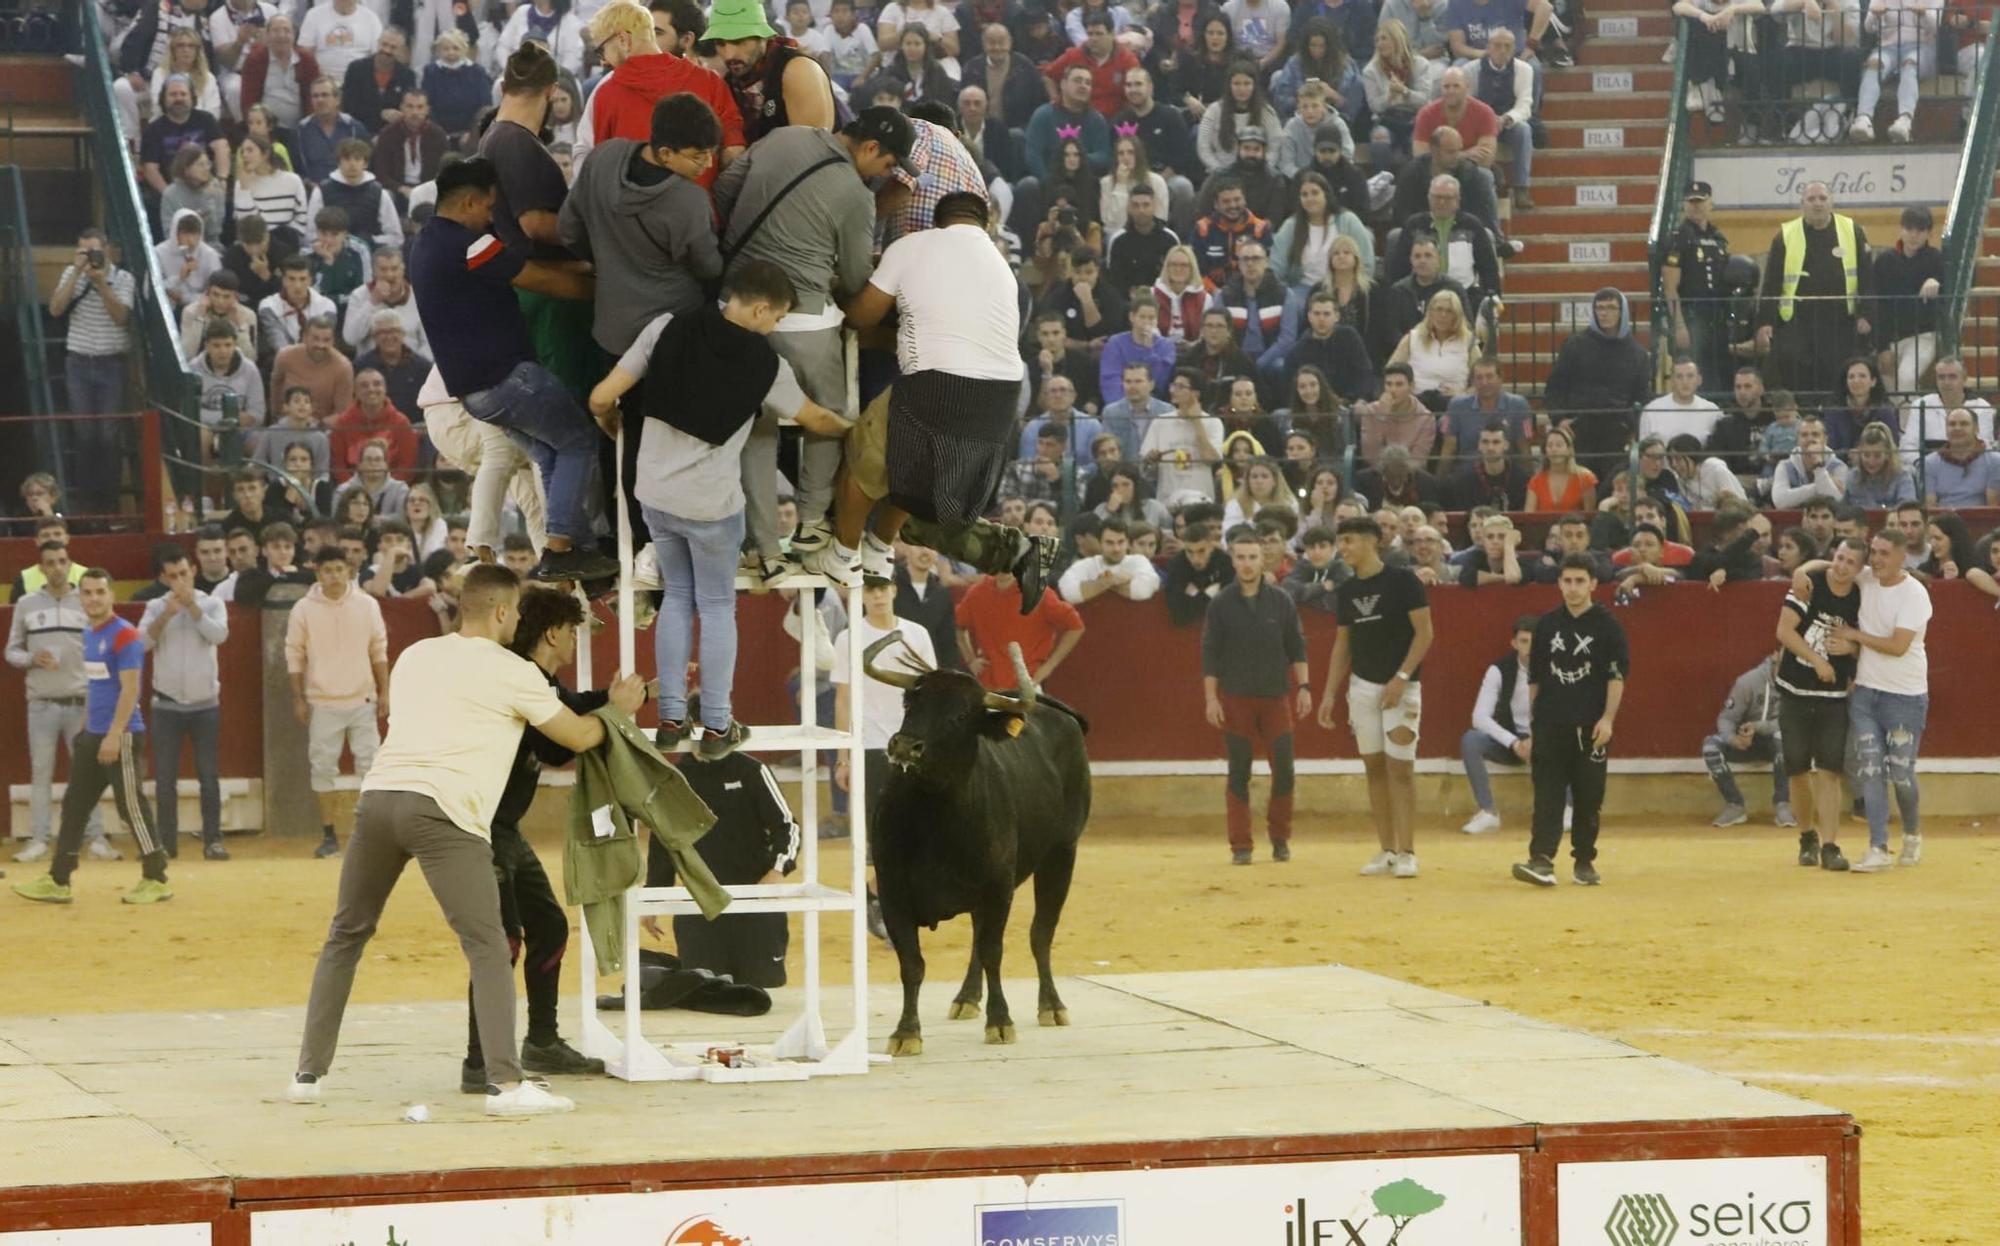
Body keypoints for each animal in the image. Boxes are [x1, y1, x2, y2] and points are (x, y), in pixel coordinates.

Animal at [864, 632, 1096, 1056]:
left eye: (960, 716)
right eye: (910, 703)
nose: (904, 746)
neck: (935, 816)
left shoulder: (999, 887)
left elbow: (994, 951)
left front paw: (1001, 1022)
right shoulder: (892, 892)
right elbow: (913, 962)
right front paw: (906, 1032)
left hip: (1061, 854)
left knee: (1040, 933)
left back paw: (1051, 1005)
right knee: (978, 937)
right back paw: (967, 998)